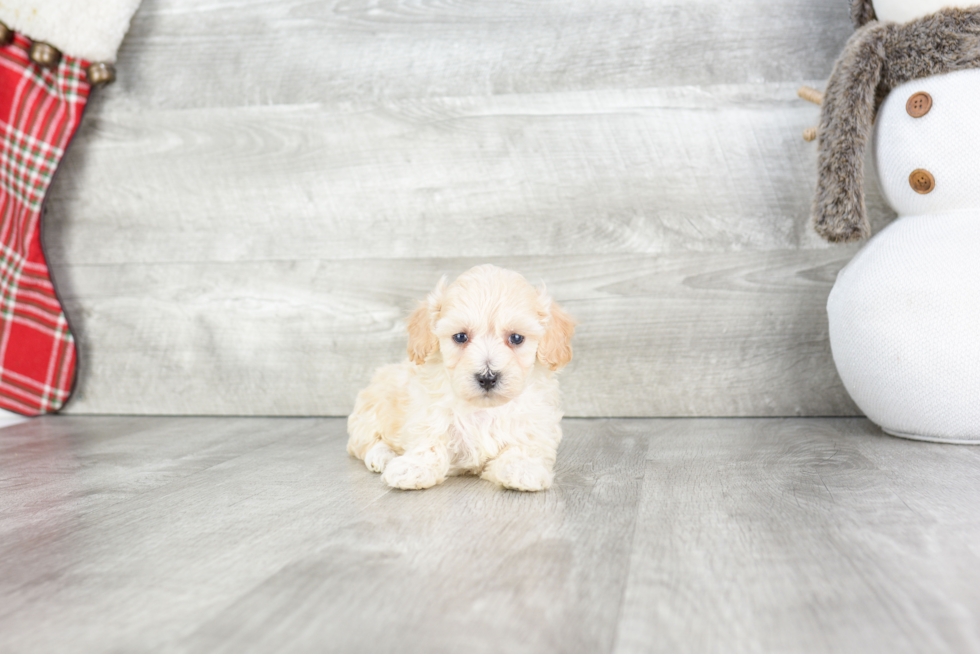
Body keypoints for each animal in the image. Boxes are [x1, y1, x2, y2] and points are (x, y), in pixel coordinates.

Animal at [346, 266, 576, 492]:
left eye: (516, 338)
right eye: (460, 337)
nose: (487, 377)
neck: (484, 409)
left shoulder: (533, 423)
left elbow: (523, 447)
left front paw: (522, 468)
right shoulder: (429, 413)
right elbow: (430, 441)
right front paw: (413, 467)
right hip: (373, 406)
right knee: (364, 442)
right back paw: (382, 456)